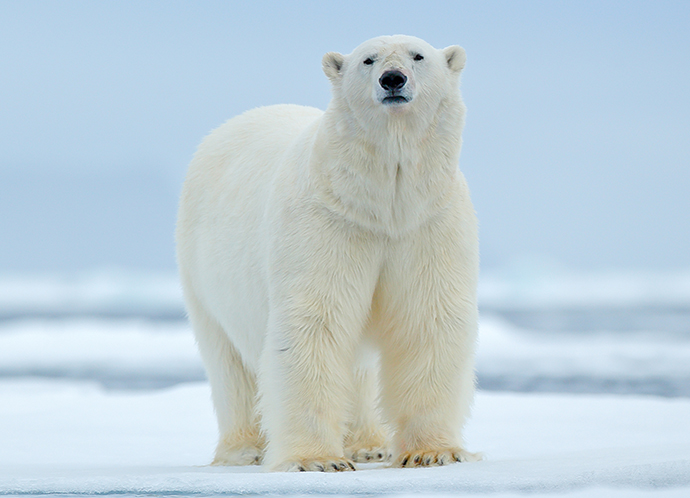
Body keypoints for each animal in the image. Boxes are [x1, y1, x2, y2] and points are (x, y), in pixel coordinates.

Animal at [175, 35, 478, 470]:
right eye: (368, 59)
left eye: (418, 55)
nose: (392, 78)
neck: (383, 203)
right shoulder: (328, 221)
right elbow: (316, 320)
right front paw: (315, 459)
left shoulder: (427, 223)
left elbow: (427, 317)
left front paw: (433, 452)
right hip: (202, 271)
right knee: (229, 362)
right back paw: (244, 449)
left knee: (359, 369)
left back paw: (369, 444)